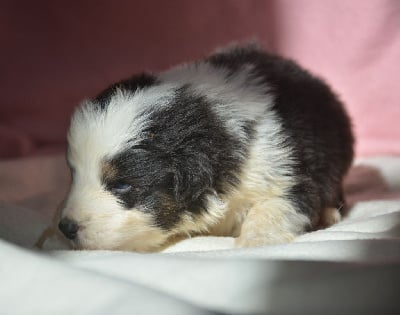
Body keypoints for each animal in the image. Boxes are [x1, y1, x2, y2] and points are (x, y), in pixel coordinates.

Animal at [57, 43, 354, 252]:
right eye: (74, 174)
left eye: (121, 185)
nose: (66, 228)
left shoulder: (285, 166)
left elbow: (276, 205)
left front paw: (255, 242)